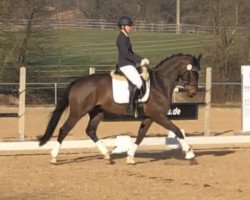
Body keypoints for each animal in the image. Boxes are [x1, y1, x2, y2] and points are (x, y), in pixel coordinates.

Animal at [39, 53, 203, 164]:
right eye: (193, 73)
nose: (193, 92)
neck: (159, 84)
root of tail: (77, 82)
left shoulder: (150, 117)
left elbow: (141, 135)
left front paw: (130, 156)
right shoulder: (159, 116)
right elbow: (177, 131)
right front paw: (190, 154)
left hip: (97, 112)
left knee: (90, 131)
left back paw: (107, 155)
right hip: (77, 112)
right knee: (64, 129)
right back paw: (54, 157)